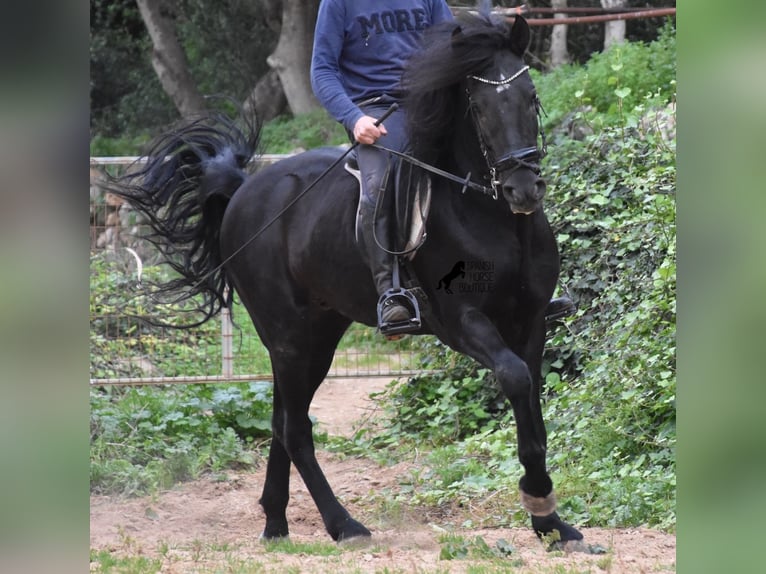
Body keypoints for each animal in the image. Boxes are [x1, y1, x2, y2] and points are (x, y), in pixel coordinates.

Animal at [112, 9, 584, 548]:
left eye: (530, 96)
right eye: (479, 108)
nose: (523, 188)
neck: (494, 217)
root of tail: (243, 192)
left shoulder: (532, 321)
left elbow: (534, 410)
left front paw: (550, 522)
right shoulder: (461, 322)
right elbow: (515, 377)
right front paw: (539, 501)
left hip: (315, 334)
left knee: (282, 419)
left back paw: (275, 523)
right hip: (291, 338)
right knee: (295, 429)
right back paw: (343, 525)